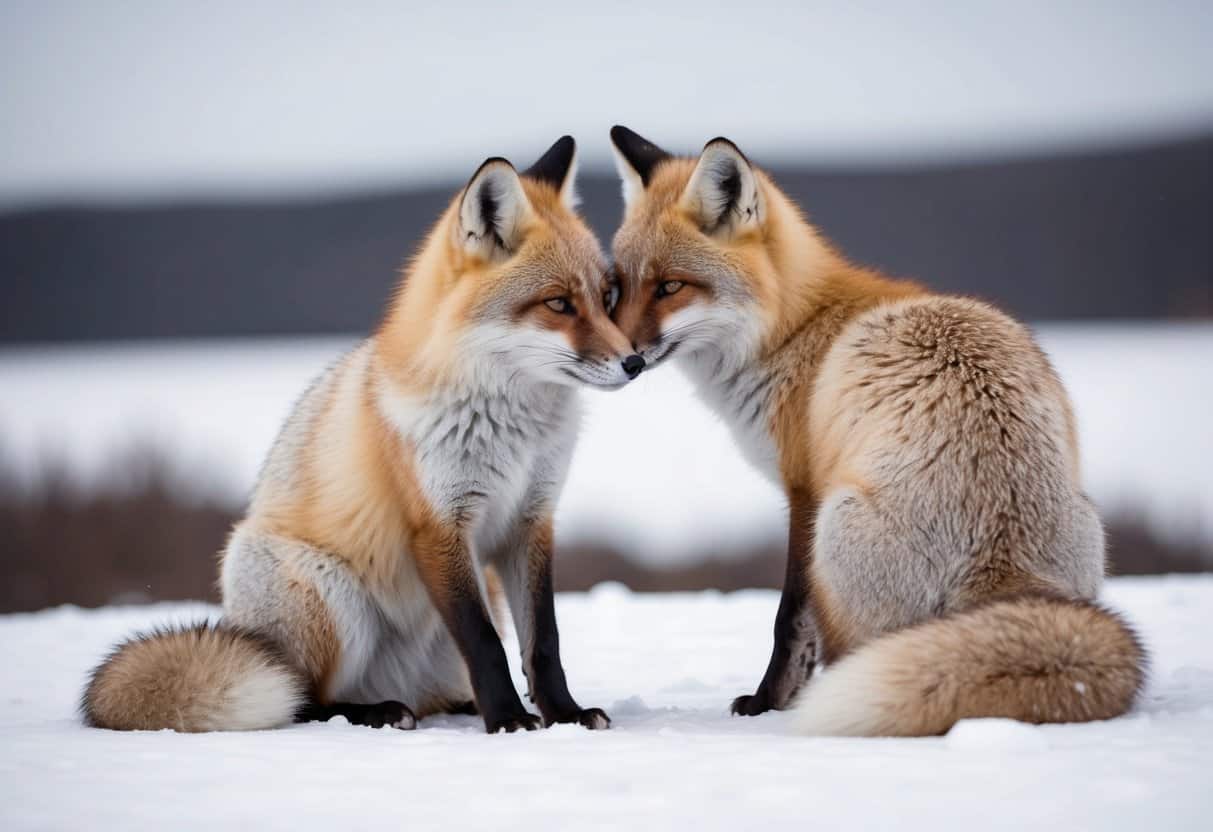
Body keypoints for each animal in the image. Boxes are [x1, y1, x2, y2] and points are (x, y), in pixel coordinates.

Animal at [82, 136, 643, 734]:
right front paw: (511, 722)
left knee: (430, 693)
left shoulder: (530, 521)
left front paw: (563, 714)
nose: (634, 362)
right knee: (304, 699)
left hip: (465, 605)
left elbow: (544, 642)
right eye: (558, 303)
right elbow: (486, 644)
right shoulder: (438, 525)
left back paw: (451, 704)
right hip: (328, 596)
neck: (511, 429)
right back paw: (376, 711)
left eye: (607, 296)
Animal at [606, 125, 1146, 736]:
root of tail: (1004, 563)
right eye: (618, 286)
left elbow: (789, 623)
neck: (794, 330)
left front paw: (768, 703)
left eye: (670, 287)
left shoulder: (804, 491)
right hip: (1088, 525)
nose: (624, 359)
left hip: (835, 527)